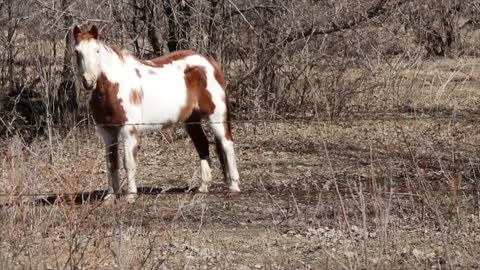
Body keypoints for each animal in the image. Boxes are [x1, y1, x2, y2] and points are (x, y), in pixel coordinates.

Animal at [73, 25, 240, 201]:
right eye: (77, 51)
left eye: (97, 50)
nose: (89, 81)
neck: (114, 87)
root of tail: (210, 62)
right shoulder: (107, 133)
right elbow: (111, 163)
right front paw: (111, 197)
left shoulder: (128, 131)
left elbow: (128, 162)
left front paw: (130, 195)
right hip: (191, 120)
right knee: (202, 144)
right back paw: (203, 187)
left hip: (216, 117)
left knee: (227, 144)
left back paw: (234, 186)